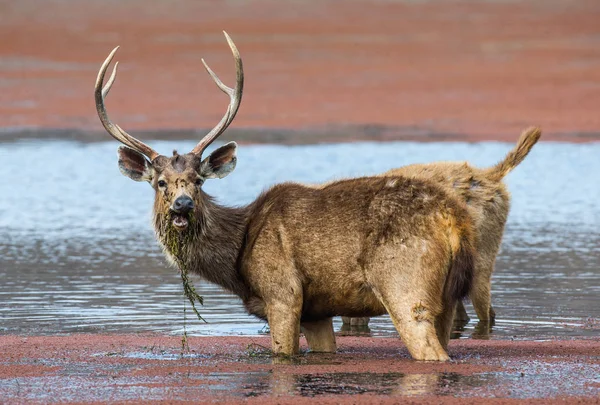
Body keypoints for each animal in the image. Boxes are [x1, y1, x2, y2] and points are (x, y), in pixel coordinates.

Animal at [95, 31, 478, 360]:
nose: (183, 204)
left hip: (405, 288)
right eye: (160, 182)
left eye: (197, 181)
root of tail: (454, 222)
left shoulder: (283, 294)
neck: (237, 260)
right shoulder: (316, 311)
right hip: (448, 297)